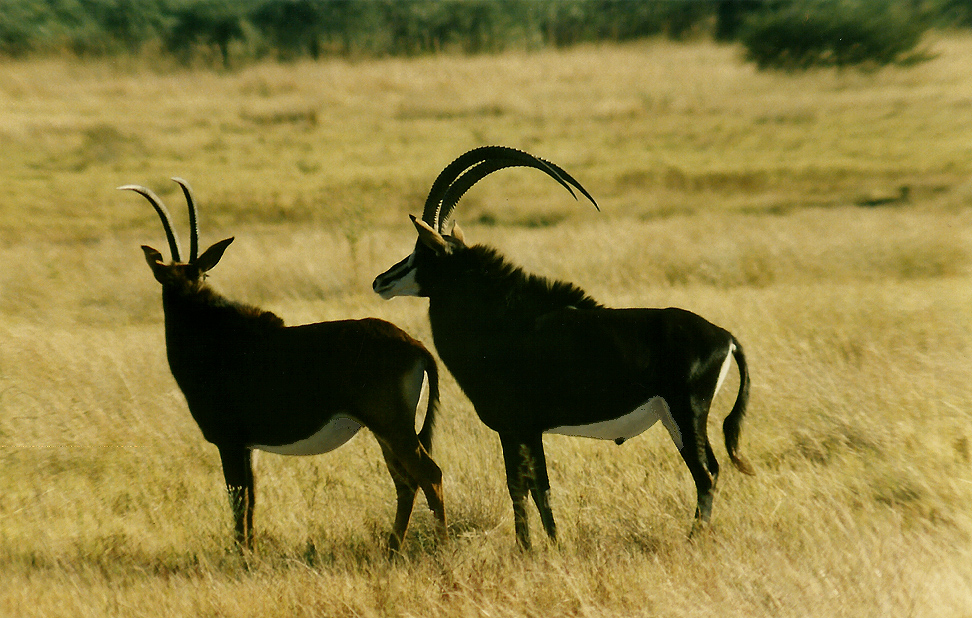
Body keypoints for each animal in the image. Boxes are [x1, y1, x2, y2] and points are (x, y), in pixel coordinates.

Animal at [122, 176, 452, 552]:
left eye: (199, 278)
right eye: (179, 279)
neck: (214, 335)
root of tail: (417, 346)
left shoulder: (228, 442)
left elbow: (238, 500)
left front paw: (242, 555)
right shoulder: (247, 447)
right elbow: (251, 500)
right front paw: (250, 551)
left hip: (392, 428)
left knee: (428, 475)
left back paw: (439, 546)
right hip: (385, 432)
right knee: (405, 483)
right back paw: (393, 549)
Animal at [376, 147, 756, 548]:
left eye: (423, 252)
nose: (381, 281)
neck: (501, 320)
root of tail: (726, 337)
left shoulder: (517, 428)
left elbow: (523, 487)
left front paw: (530, 549)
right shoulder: (529, 431)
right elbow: (536, 486)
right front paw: (548, 544)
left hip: (687, 412)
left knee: (705, 474)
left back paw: (693, 539)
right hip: (678, 419)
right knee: (711, 469)